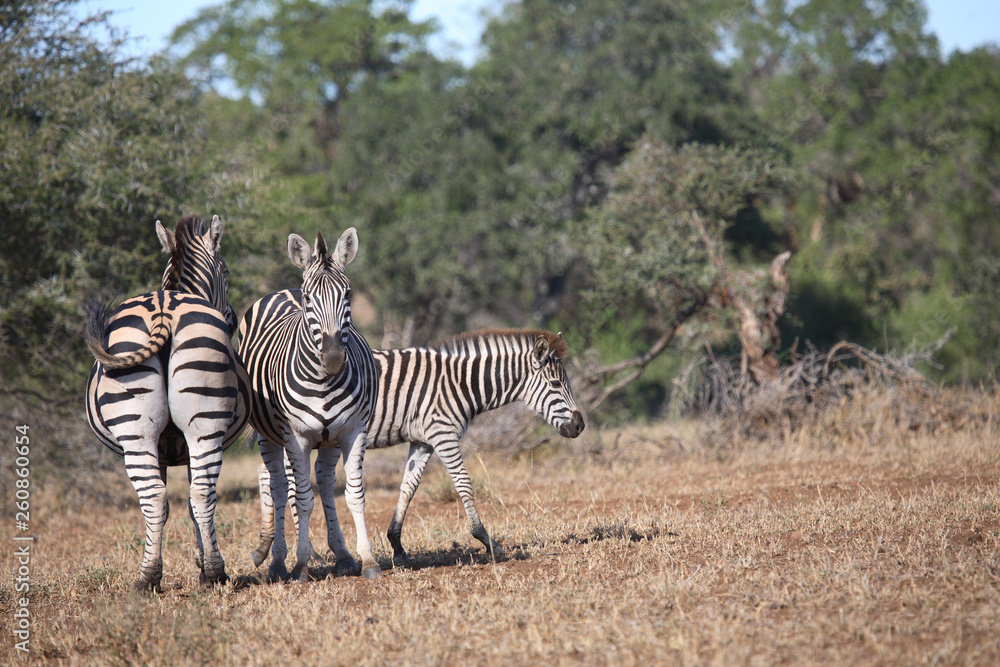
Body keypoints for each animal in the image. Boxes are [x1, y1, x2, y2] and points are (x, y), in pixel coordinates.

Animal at [84, 215, 250, 593]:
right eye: (226, 270)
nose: (233, 319)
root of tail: (163, 309)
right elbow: (184, 504)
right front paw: (199, 565)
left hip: (142, 432)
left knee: (162, 497)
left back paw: (157, 577)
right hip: (196, 427)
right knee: (195, 495)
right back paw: (206, 573)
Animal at [238, 228, 381, 582]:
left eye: (348, 295)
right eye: (308, 299)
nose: (333, 359)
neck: (324, 383)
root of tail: (283, 289)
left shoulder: (353, 431)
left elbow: (354, 494)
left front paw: (368, 559)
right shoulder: (297, 438)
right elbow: (302, 498)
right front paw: (301, 565)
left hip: (330, 440)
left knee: (327, 484)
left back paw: (342, 555)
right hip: (269, 435)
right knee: (278, 486)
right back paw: (277, 561)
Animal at [253, 328, 586, 567]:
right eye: (556, 385)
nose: (580, 426)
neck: (459, 384)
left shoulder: (423, 441)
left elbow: (408, 487)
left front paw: (397, 546)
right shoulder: (444, 434)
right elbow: (464, 484)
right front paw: (488, 542)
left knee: (267, 476)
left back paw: (266, 548)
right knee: (285, 485)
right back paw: (308, 554)